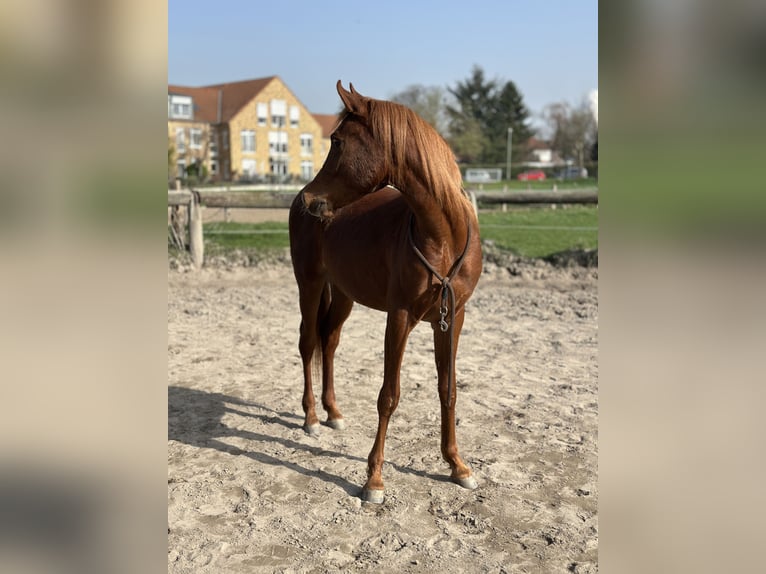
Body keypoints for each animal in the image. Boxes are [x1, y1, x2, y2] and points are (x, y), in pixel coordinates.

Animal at [288, 81, 483, 504]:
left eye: (337, 141)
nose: (311, 200)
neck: (443, 236)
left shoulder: (452, 319)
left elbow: (448, 390)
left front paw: (457, 465)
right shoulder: (400, 317)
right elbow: (388, 395)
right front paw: (374, 479)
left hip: (344, 294)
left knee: (329, 341)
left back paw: (333, 412)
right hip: (309, 284)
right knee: (308, 342)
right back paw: (311, 417)